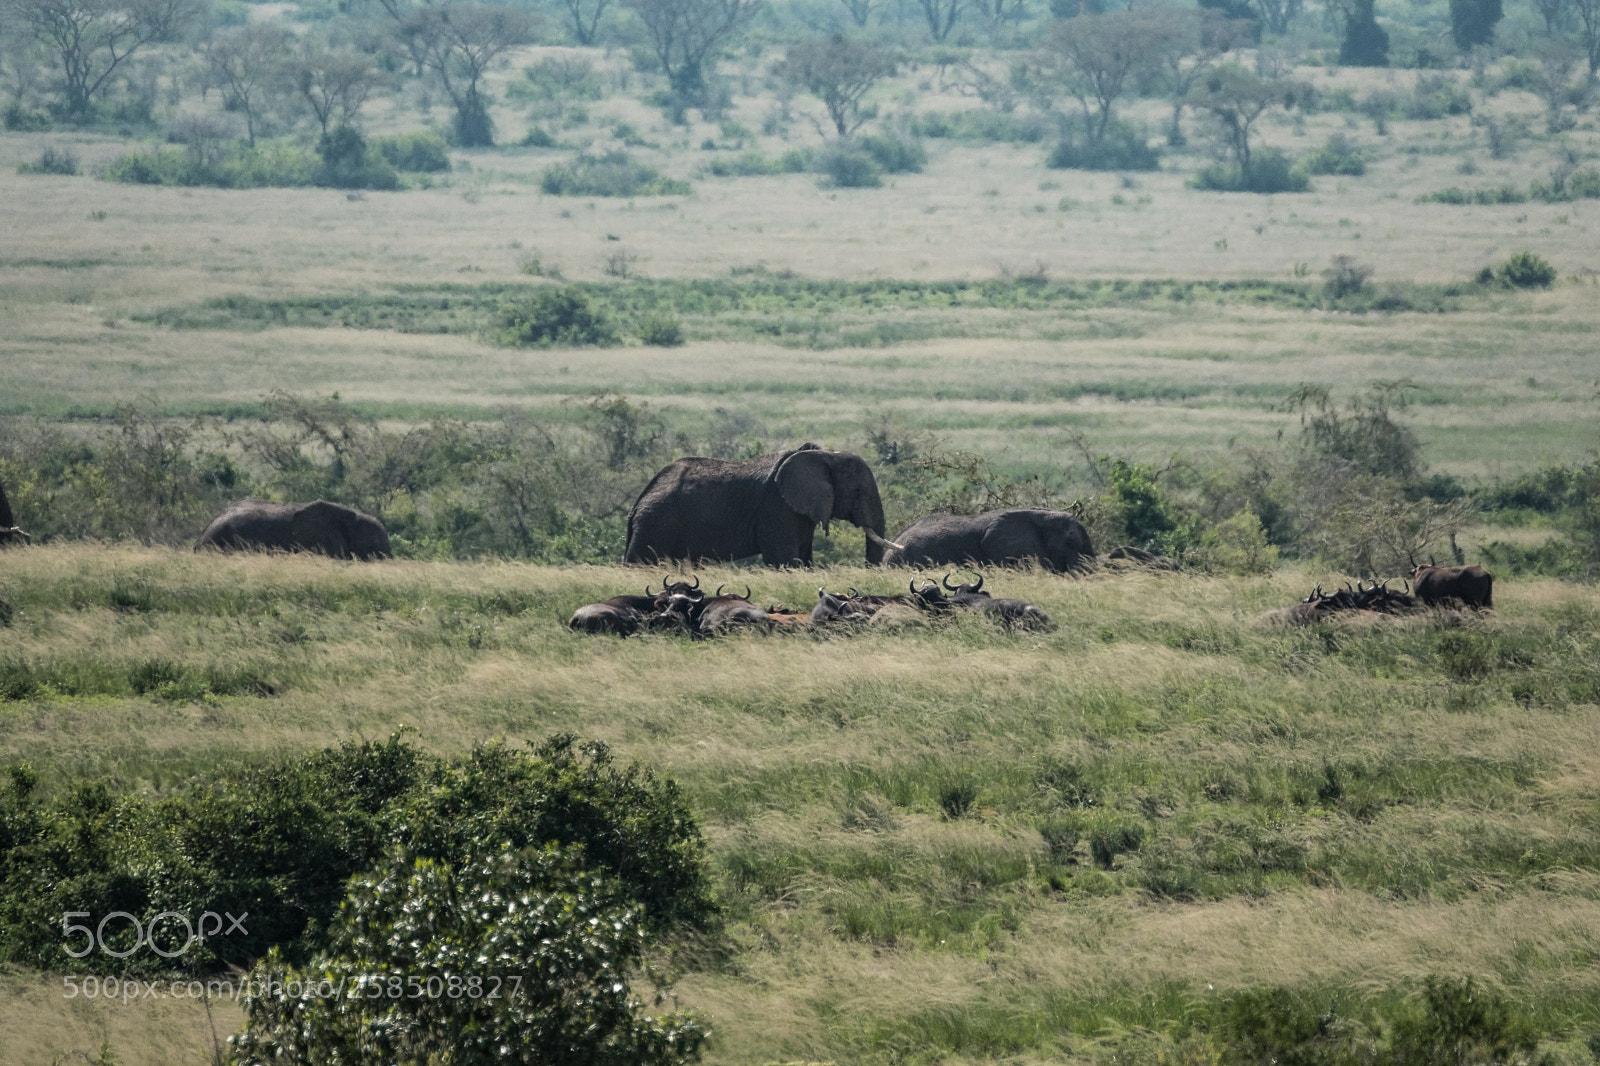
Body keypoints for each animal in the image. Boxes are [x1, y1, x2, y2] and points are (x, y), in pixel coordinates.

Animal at [624, 443, 898, 567]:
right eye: (859, 491)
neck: (825, 455)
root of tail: (636, 506)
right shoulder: (776, 508)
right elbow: (784, 560)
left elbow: (804, 556)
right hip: (657, 523)